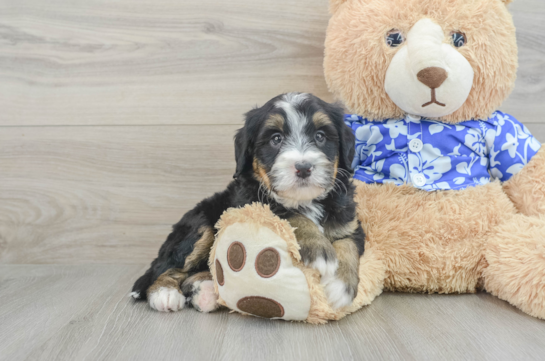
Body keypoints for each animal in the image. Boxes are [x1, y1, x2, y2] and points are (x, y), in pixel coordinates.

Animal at [130, 93, 364, 312]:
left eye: (320, 136)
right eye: (276, 139)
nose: (304, 167)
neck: (303, 200)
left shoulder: (350, 223)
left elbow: (348, 245)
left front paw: (341, 286)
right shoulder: (250, 205)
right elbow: (288, 215)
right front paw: (319, 250)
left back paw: (205, 292)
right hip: (199, 225)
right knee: (167, 268)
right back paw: (165, 293)